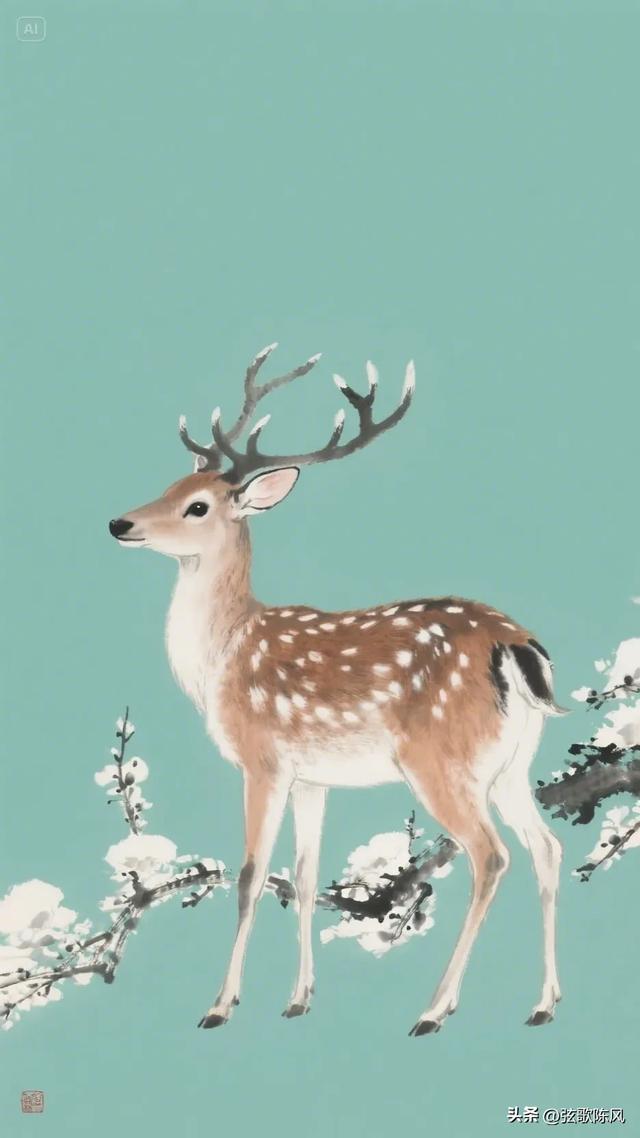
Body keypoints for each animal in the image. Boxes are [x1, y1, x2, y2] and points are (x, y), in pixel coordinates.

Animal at [109, 344, 566, 1036]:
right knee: (547, 848)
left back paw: (434, 1009)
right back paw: (542, 1003)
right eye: (168, 487)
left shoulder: (263, 758)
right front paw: (298, 999)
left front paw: (220, 1004)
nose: (119, 522)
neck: (221, 658)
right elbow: (302, 876)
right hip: (511, 762)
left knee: (491, 856)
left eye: (198, 506)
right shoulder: (313, 777)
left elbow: (250, 876)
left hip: (440, 758)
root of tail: (516, 647)